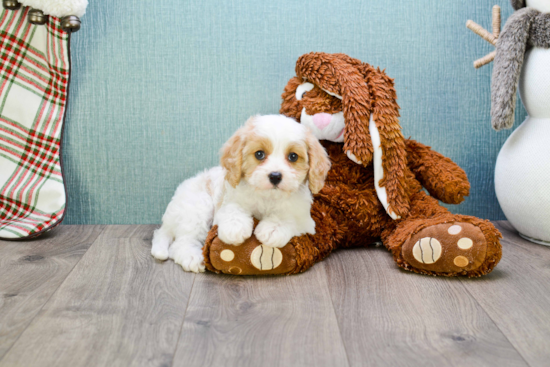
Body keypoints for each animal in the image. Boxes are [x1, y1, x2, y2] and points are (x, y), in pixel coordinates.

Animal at [152, 115, 332, 274]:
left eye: (293, 156)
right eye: (259, 154)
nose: (275, 176)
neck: (267, 197)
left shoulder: (307, 222)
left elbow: (288, 217)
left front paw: (272, 229)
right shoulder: (227, 200)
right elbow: (233, 209)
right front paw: (235, 228)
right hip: (198, 207)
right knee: (182, 242)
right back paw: (192, 257)